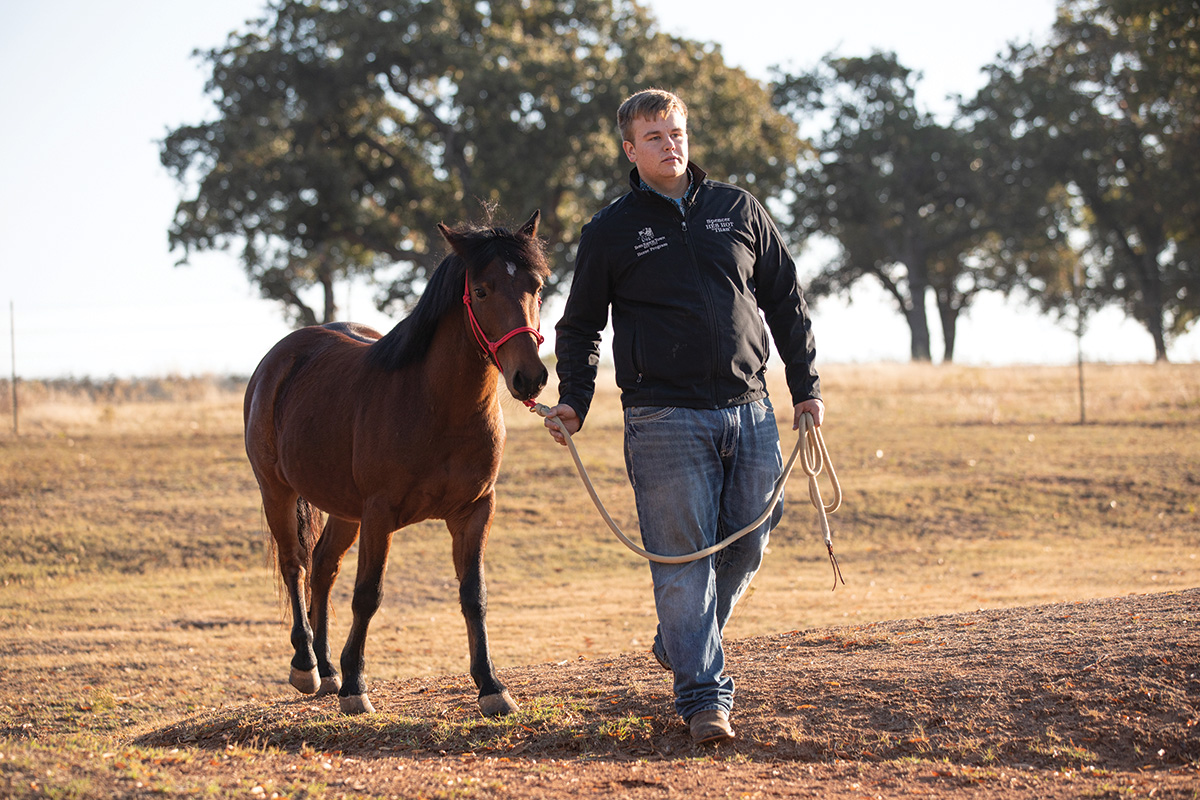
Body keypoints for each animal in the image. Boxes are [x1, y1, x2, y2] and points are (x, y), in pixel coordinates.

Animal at [244, 209, 552, 714]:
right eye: (482, 290)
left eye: (538, 286)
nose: (530, 377)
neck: (436, 405)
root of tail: (281, 357)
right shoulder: (380, 513)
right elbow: (368, 595)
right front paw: (356, 687)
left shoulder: (474, 511)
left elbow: (474, 595)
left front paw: (491, 685)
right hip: (278, 491)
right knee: (296, 566)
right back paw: (308, 667)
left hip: (343, 509)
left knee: (323, 568)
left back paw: (326, 667)